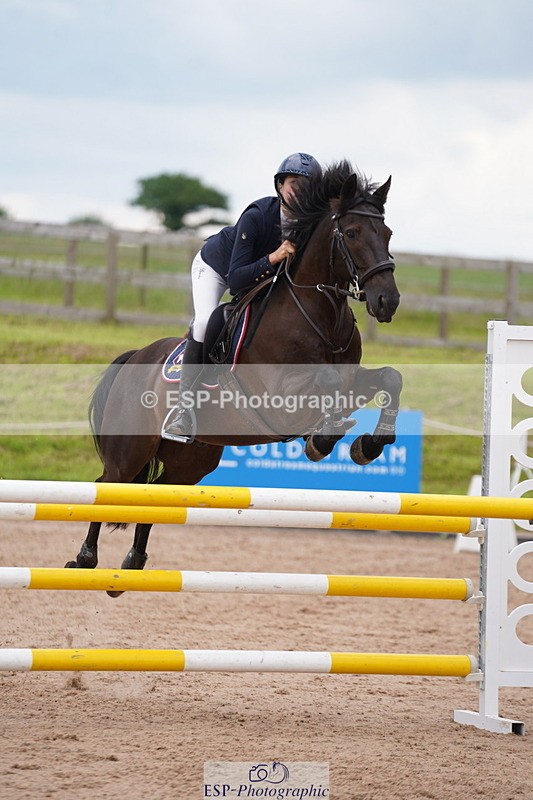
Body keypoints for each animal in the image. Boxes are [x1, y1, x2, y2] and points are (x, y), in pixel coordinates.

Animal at [65, 160, 402, 583]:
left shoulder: (352, 377)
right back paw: (84, 559)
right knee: (107, 486)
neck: (318, 312)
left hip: (191, 461)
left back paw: (131, 566)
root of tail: (136, 357)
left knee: (158, 495)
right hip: (129, 451)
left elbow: (389, 378)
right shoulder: (279, 394)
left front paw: (368, 444)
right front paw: (323, 439)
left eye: (388, 233)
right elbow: (324, 384)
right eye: (353, 232)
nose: (387, 301)